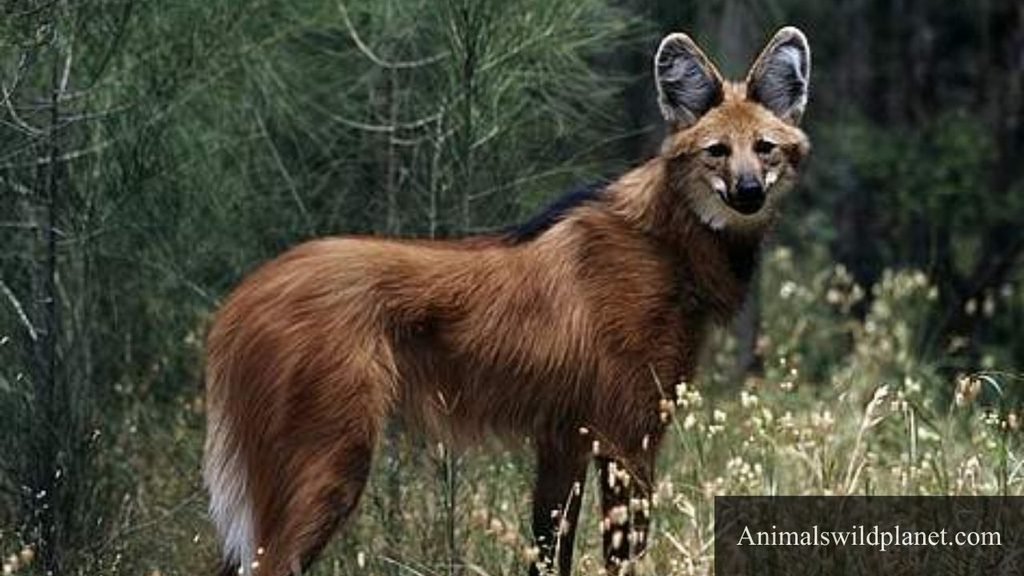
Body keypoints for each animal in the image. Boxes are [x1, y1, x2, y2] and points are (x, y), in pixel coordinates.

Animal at [203, 26, 811, 576]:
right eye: (717, 152)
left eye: (765, 149)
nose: (749, 193)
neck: (668, 244)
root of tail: (240, 297)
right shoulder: (627, 434)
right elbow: (619, 553)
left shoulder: (564, 437)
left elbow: (549, 549)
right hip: (332, 458)